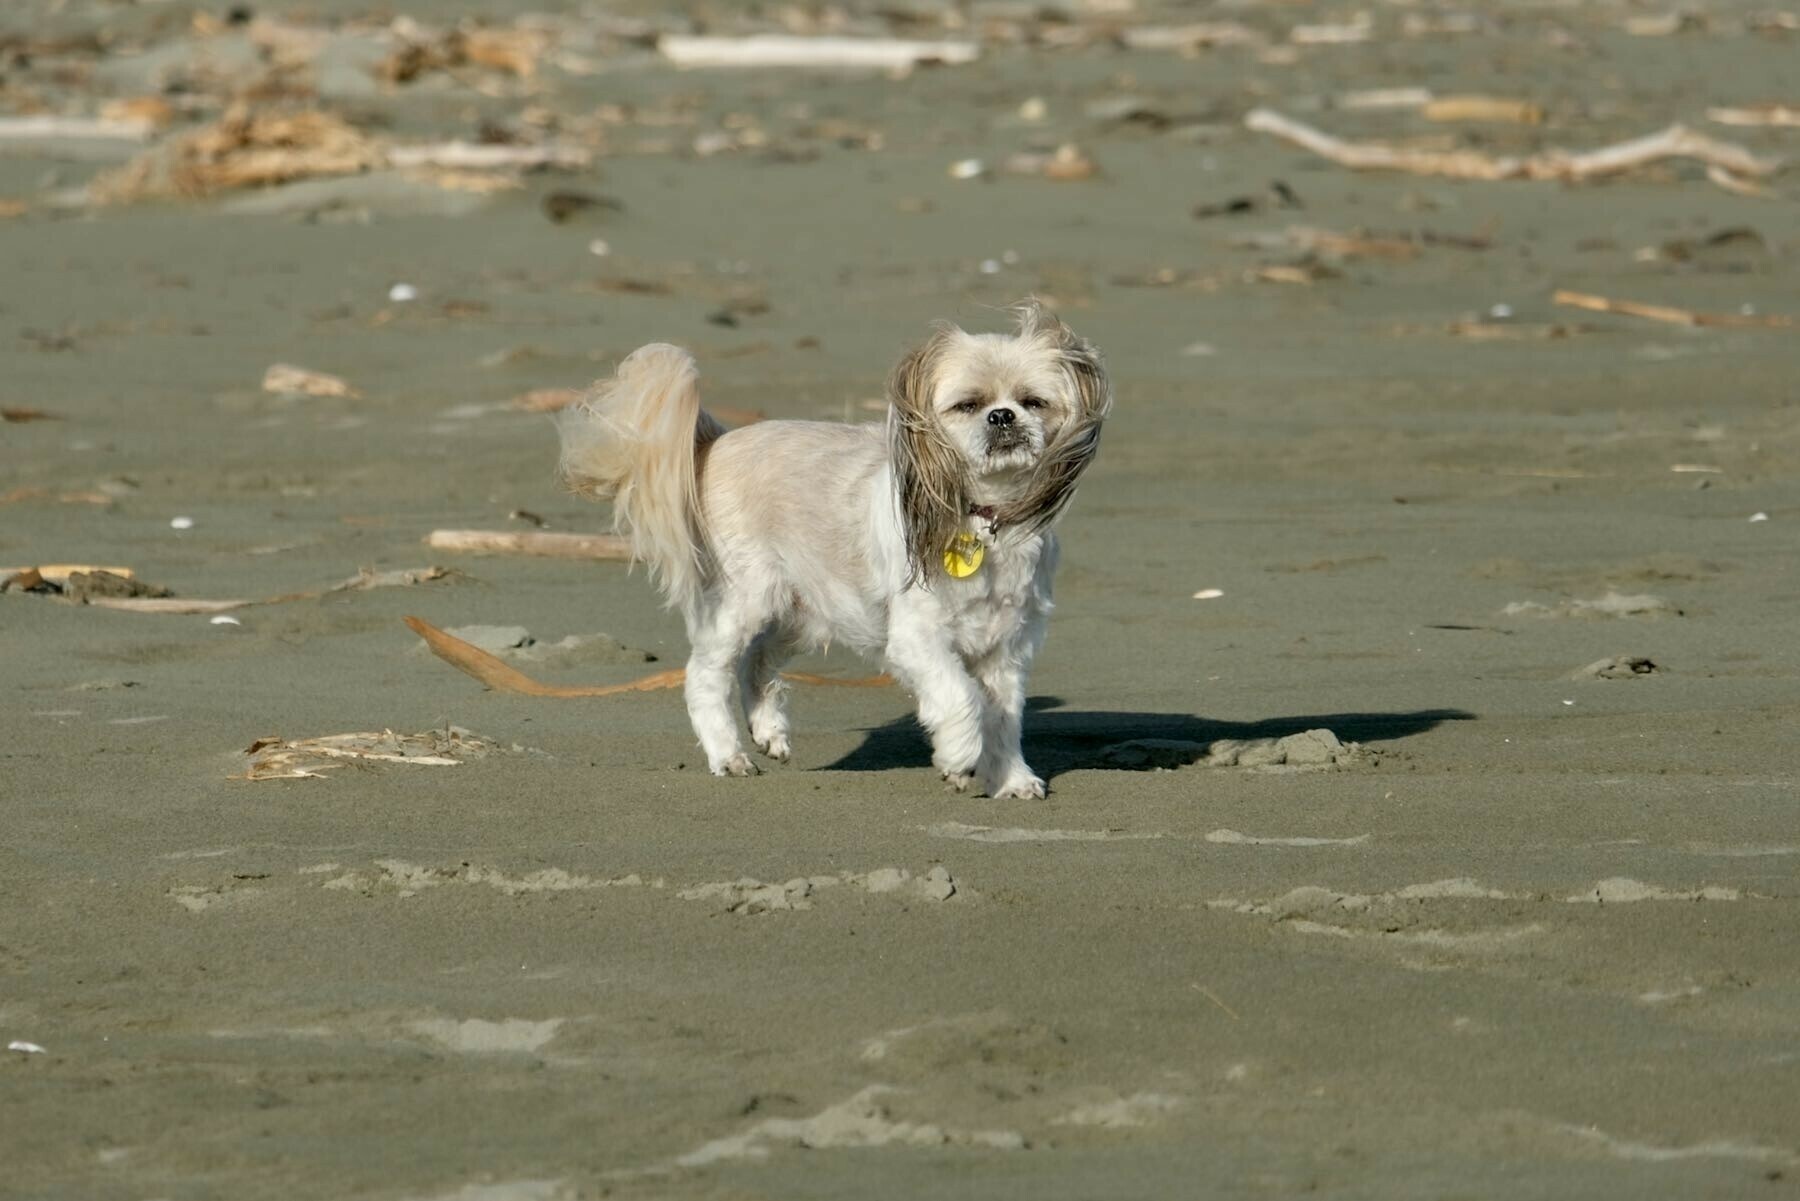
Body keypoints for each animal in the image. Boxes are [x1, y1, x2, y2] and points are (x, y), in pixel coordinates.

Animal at [554, 300, 1108, 799]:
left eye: (1034, 402)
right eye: (967, 405)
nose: (1002, 416)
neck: (983, 519)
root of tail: (714, 446)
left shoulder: (1007, 649)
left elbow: (1004, 717)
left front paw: (1012, 779)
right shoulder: (918, 639)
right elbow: (961, 696)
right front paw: (959, 759)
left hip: (805, 610)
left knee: (756, 660)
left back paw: (768, 730)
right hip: (745, 598)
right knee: (706, 674)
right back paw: (727, 755)